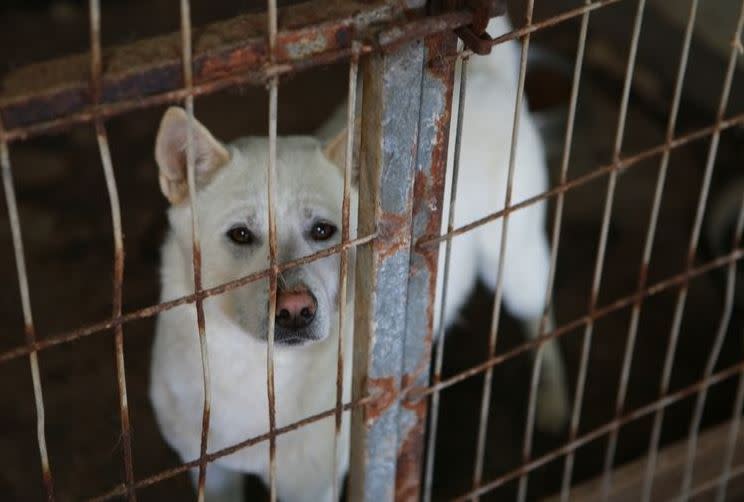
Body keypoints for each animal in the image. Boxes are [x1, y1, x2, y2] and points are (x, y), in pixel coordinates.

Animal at [151, 15, 568, 502]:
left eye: (323, 231)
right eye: (240, 235)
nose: (295, 310)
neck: (256, 373)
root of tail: (478, 71)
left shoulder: (312, 487)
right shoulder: (212, 474)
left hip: (515, 262)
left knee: (542, 315)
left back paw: (552, 400)